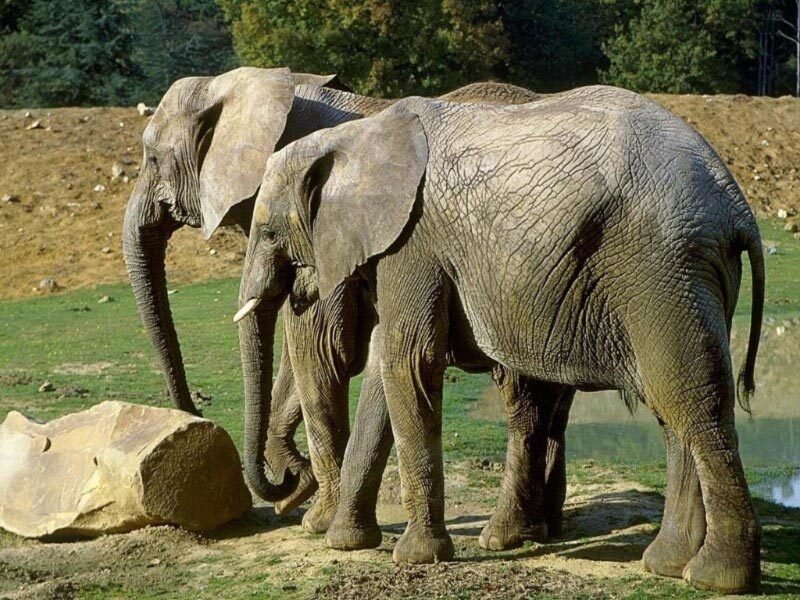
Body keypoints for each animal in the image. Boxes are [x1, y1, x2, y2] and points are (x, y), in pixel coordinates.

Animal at [120, 66, 558, 532]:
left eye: (152, 160)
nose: (198, 416)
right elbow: (303, 352)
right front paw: (299, 487)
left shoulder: (327, 225)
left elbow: (320, 348)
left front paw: (315, 517)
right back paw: (543, 526)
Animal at [236, 86, 765, 593]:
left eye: (266, 230)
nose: (287, 485)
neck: (355, 135)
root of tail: (737, 205)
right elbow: (392, 368)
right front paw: (347, 543)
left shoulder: (414, 242)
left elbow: (409, 361)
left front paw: (414, 557)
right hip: (687, 276)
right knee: (673, 410)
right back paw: (664, 564)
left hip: (662, 270)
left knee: (694, 403)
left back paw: (714, 577)